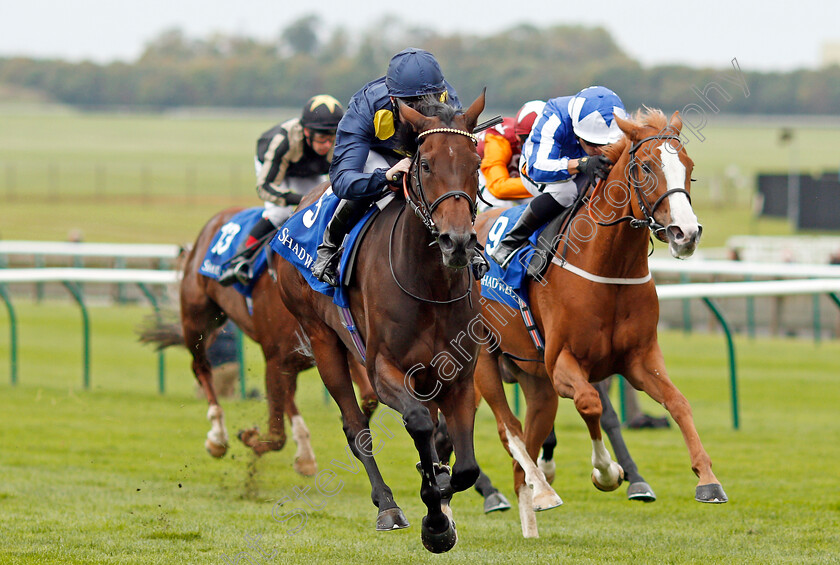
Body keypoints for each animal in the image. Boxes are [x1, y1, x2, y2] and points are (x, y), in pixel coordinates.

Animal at [142, 205, 378, 474]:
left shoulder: (338, 346)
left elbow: (369, 397)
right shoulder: (278, 356)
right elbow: (276, 434)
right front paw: (251, 440)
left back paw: (304, 453)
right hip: (196, 319)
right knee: (201, 367)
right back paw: (218, 436)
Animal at [276, 93, 486, 552]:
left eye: (475, 162)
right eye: (425, 165)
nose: (458, 242)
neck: (430, 286)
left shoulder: (460, 375)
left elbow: (463, 466)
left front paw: (441, 500)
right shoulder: (383, 368)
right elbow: (419, 423)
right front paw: (433, 516)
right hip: (323, 340)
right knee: (357, 428)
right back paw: (388, 505)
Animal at [476, 108, 724, 536]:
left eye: (689, 167)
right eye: (645, 166)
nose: (686, 233)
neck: (609, 267)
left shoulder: (640, 359)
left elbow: (678, 403)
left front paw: (708, 479)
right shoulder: (562, 363)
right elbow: (590, 403)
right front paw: (607, 472)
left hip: (535, 383)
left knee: (522, 455)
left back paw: (533, 516)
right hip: (481, 362)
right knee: (509, 433)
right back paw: (539, 490)